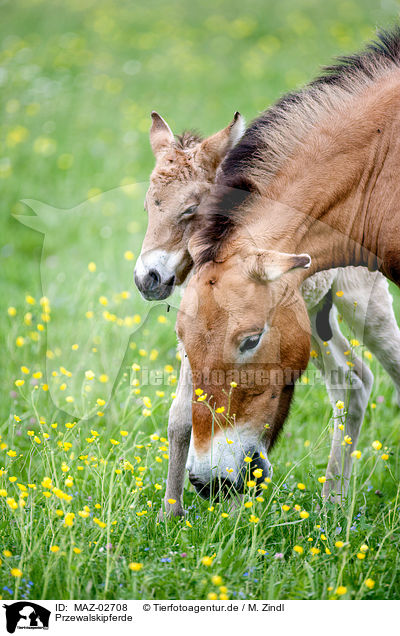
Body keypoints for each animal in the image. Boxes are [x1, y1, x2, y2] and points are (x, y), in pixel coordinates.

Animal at [136, 102, 400, 516]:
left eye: (191, 209)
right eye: (148, 207)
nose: (147, 277)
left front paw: (228, 511)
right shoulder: (194, 342)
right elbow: (181, 418)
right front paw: (172, 512)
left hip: (362, 304)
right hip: (313, 322)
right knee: (353, 380)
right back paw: (332, 500)